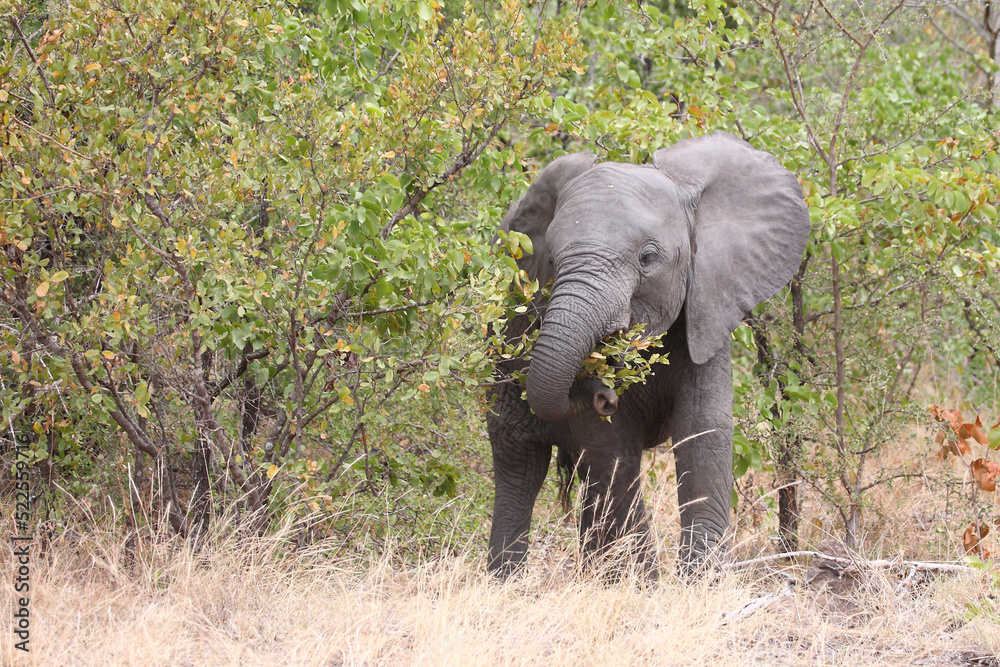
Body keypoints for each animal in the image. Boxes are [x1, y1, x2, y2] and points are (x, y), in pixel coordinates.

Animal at [486, 130, 812, 580]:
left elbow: (704, 431)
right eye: (550, 259)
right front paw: (644, 585)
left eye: (648, 258)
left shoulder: (707, 305)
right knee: (520, 466)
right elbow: (612, 453)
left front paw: (699, 584)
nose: (602, 393)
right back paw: (507, 584)